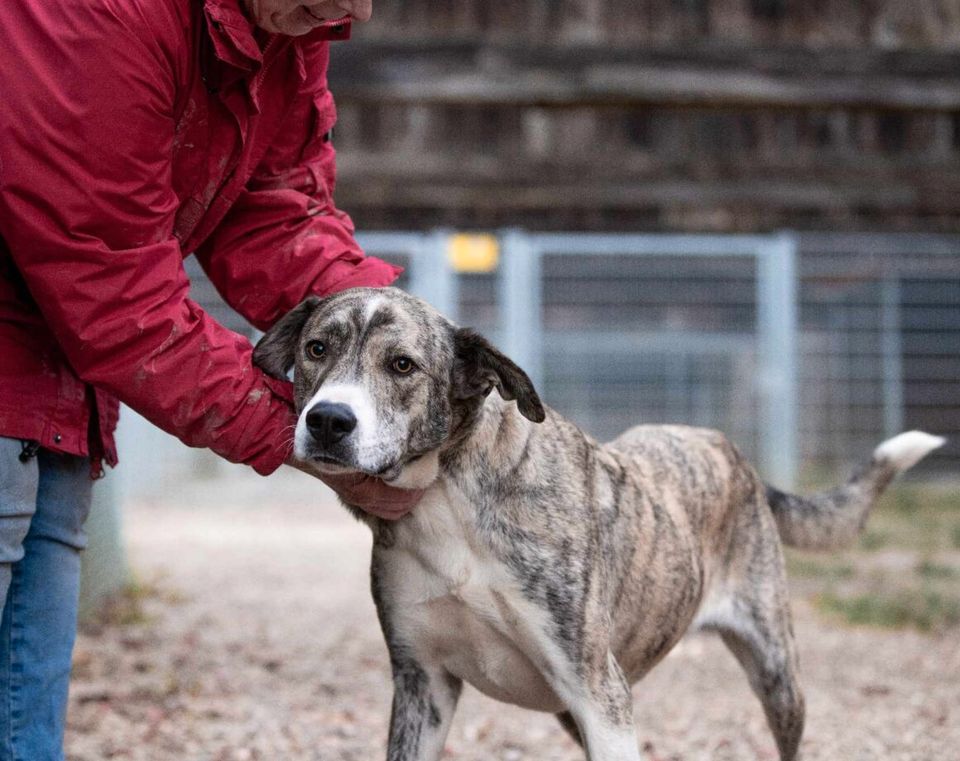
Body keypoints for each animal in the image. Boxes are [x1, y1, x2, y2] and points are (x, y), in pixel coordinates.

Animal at [255, 286, 944, 760]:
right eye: (317, 349)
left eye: (402, 365)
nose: (328, 421)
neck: (449, 500)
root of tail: (732, 453)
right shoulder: (423, 684)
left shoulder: (599, 692)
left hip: (776, 676)